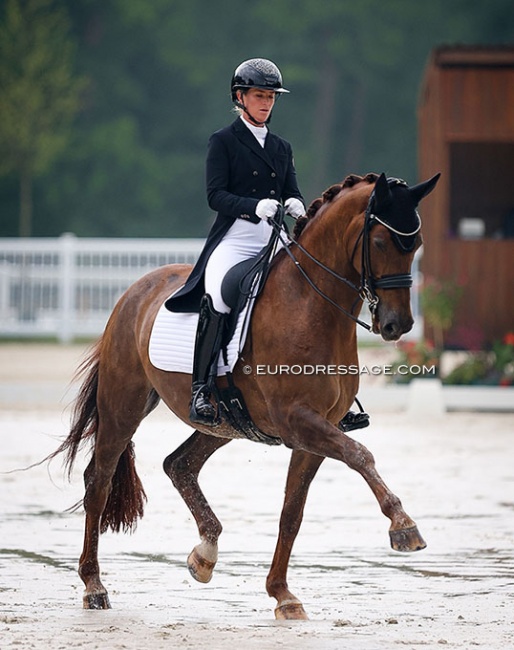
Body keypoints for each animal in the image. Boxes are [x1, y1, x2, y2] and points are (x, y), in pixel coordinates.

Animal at [55, 171, 440, 616]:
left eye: (416, 244)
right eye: (379, 243)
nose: (398, 325)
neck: (312, 305)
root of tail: (136, 289)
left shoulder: (316, 431)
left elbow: (292, 512)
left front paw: (282, 593)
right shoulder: (299, 421)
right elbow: (361, 455)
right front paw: (404, 526)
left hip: (224, 422)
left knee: (179, 464)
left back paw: (204, 555)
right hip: (124, 404)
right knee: (98, 483)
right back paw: (94, 586)